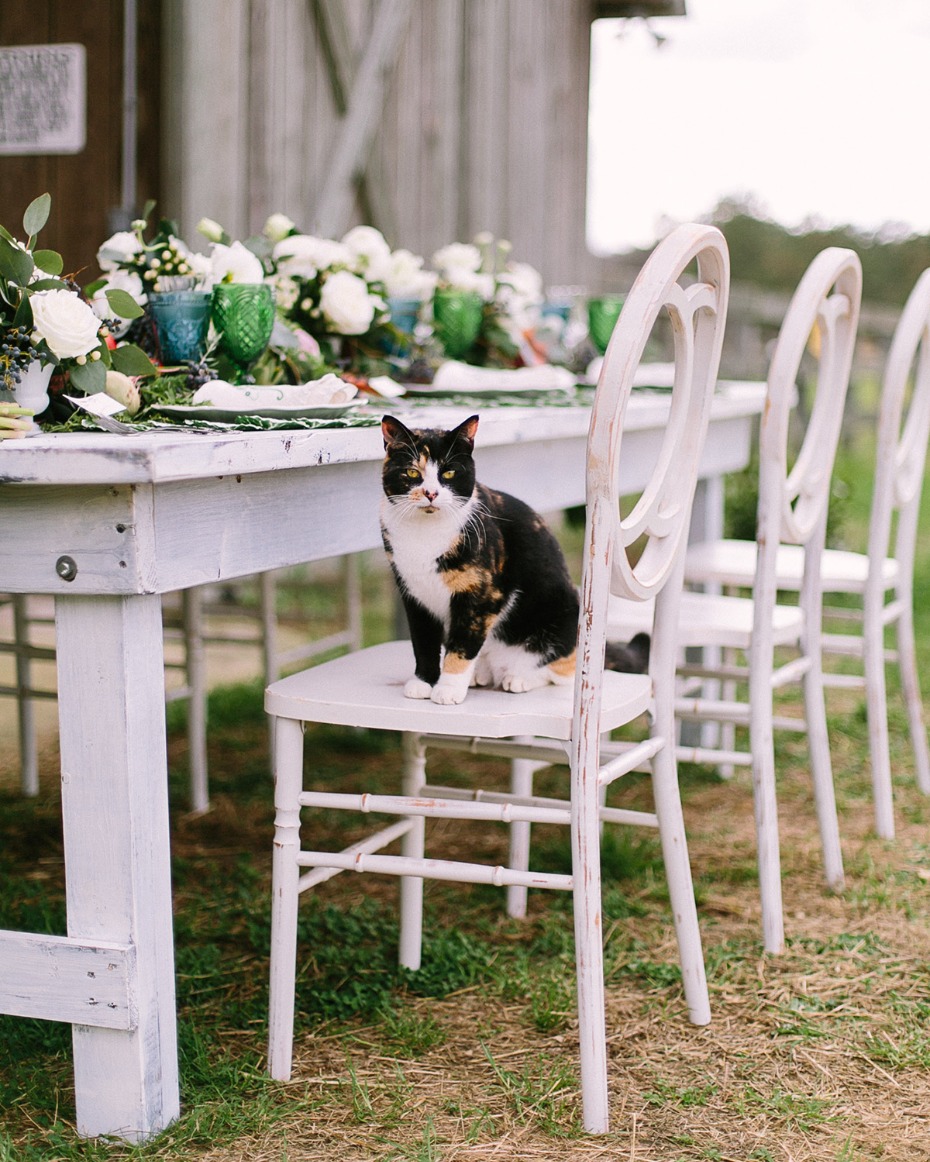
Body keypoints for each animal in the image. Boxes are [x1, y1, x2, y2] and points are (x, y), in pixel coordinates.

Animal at [381, 418, 651, 706]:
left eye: (449, 473)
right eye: (411, 472)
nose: (431, 493)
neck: (425, 535)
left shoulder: (482, 595)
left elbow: (462, 645)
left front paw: (448, 689)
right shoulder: (413, 595)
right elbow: (423, 643)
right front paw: (423, 682)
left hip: (565, 614)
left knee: (564, 670)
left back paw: (518, 678)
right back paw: (480, 675)